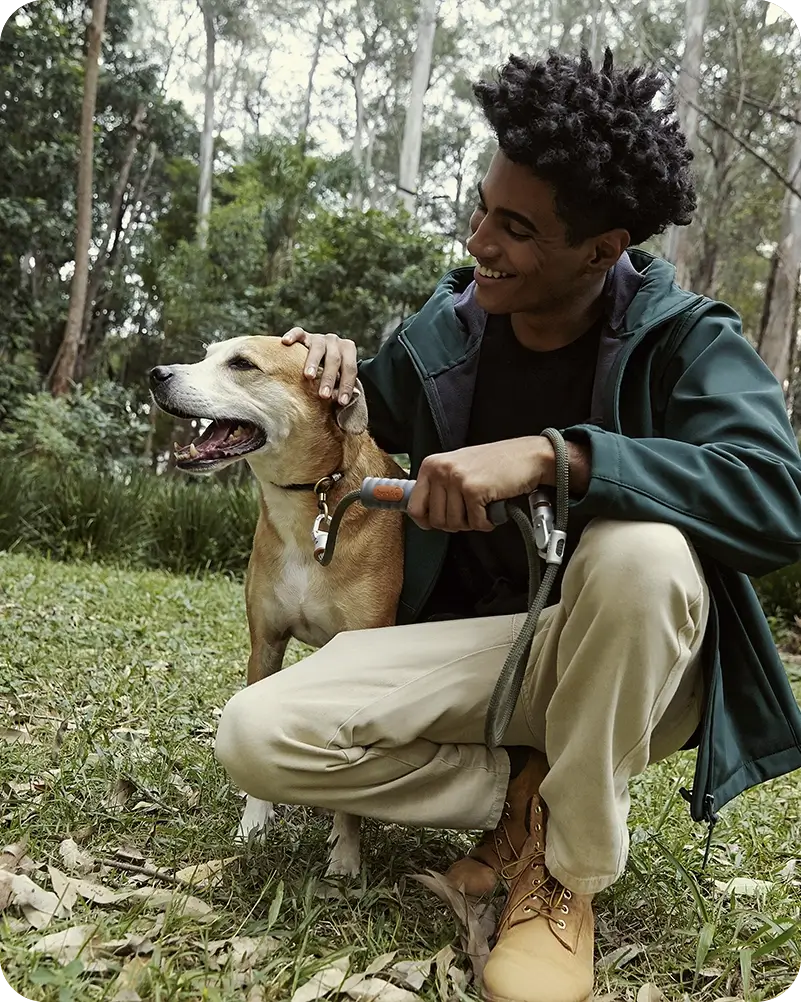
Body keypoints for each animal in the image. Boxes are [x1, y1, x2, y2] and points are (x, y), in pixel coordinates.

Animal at [149, 334, 405, 876]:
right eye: (207, 354)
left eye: (243, 364)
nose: (156, 374)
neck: (308, 503)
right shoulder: (264, 643)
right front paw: (254, 824)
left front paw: (345, 853)